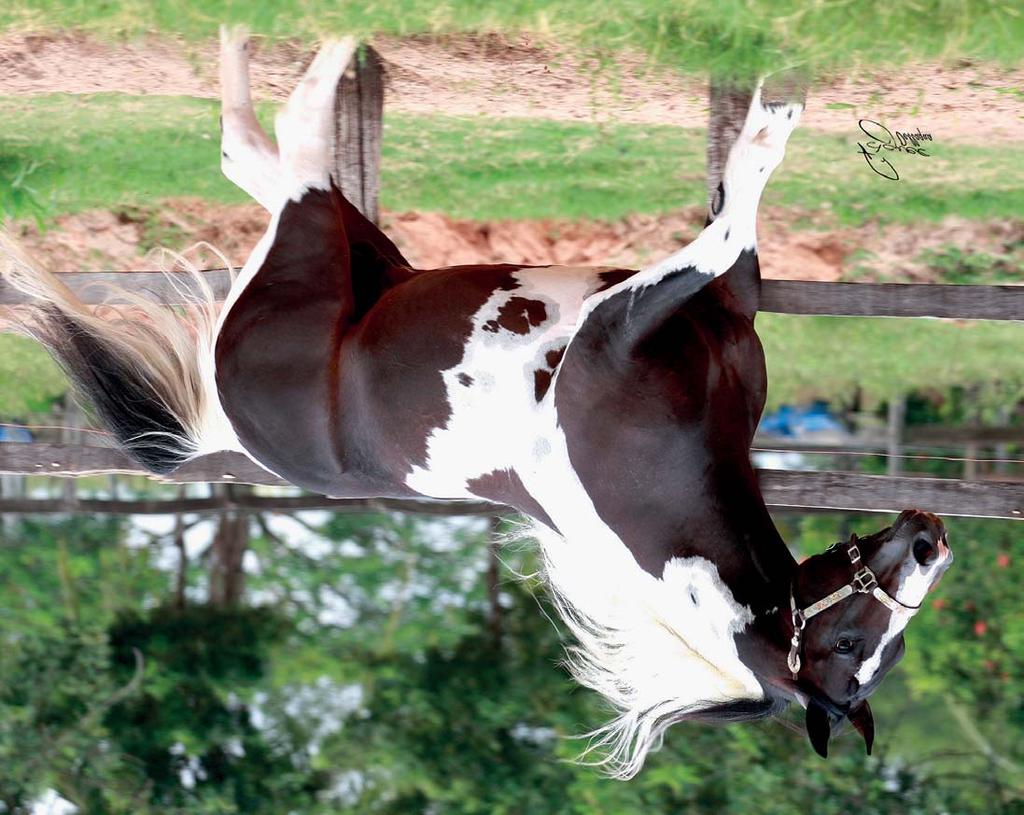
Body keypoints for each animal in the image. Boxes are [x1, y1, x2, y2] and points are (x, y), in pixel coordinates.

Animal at [0, 27, 950, 778]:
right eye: (851, 639)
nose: (930, 542)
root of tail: (223, 432)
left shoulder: (629, 319)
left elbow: (739, 203)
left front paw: (774, 102)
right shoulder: (664, 306)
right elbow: (739, 205)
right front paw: (774, 101)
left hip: (322, 250)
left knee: (275, 152)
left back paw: (310, 39)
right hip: (354, 250)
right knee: (270, 152)